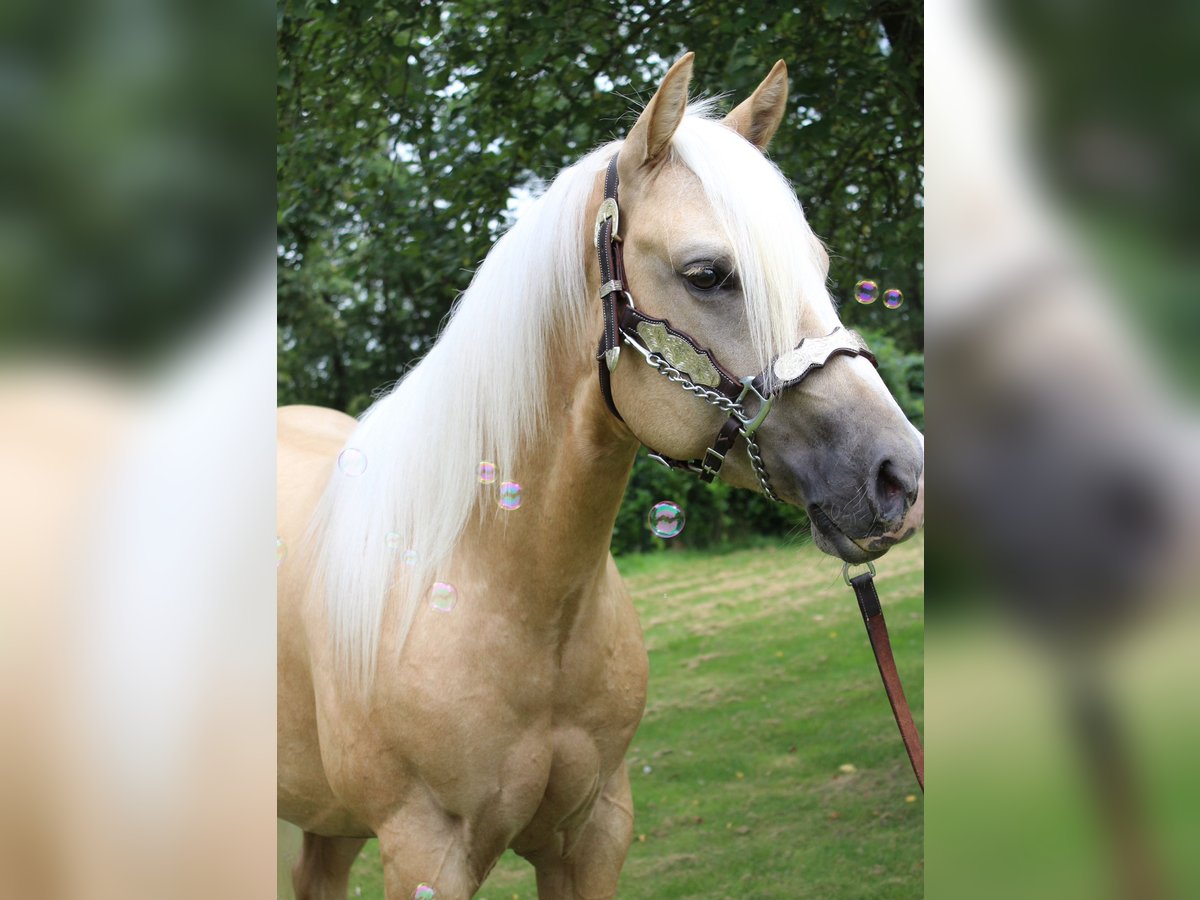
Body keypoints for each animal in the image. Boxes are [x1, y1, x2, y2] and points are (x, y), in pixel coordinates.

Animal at [276, 52, 921, 897]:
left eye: (817, 266)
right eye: (707, 274)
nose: (900, 474)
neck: (503, 590)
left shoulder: (593, 831)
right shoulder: (426, 851)